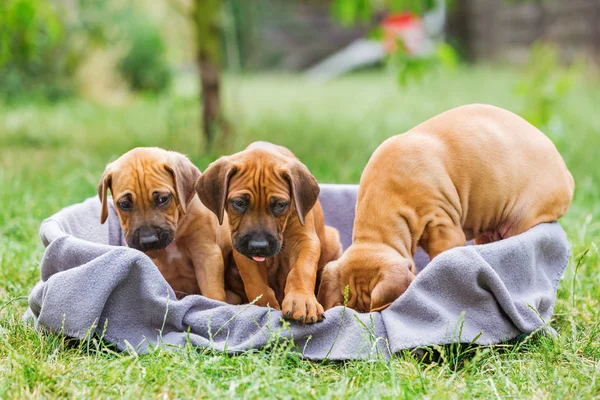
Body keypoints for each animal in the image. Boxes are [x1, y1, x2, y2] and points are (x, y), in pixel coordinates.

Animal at [197, 142, 342, 324]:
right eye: (239, 203)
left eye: (280, 205)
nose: (259, 246)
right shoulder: (242, 249)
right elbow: (256, 283)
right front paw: (267, 307)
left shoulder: (305, 240)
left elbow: (301, 270)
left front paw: (302, 300)